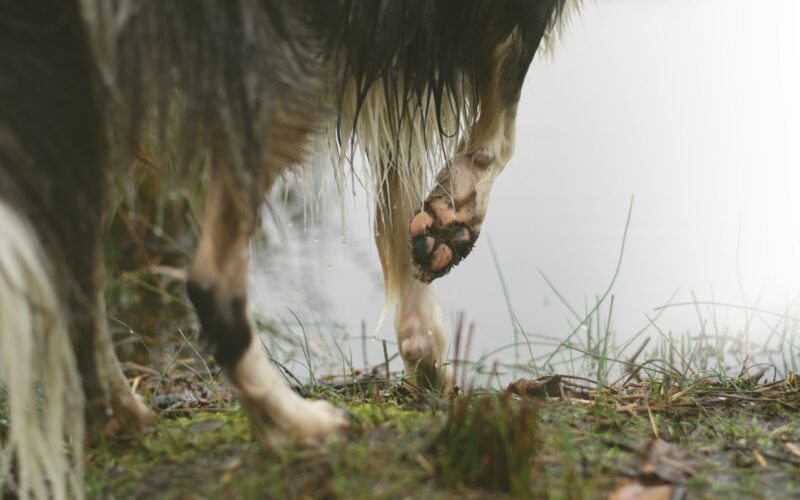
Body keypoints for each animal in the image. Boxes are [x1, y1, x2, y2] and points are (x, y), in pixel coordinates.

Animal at [0, 1, 580, 498]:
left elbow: (401, 177)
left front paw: (427, 342)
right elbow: (501, 123)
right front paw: (455, 216)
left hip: (82, 101)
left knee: (72, 280)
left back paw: (122, 418)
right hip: (276, 67)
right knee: (209, 281)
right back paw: (295, 424)